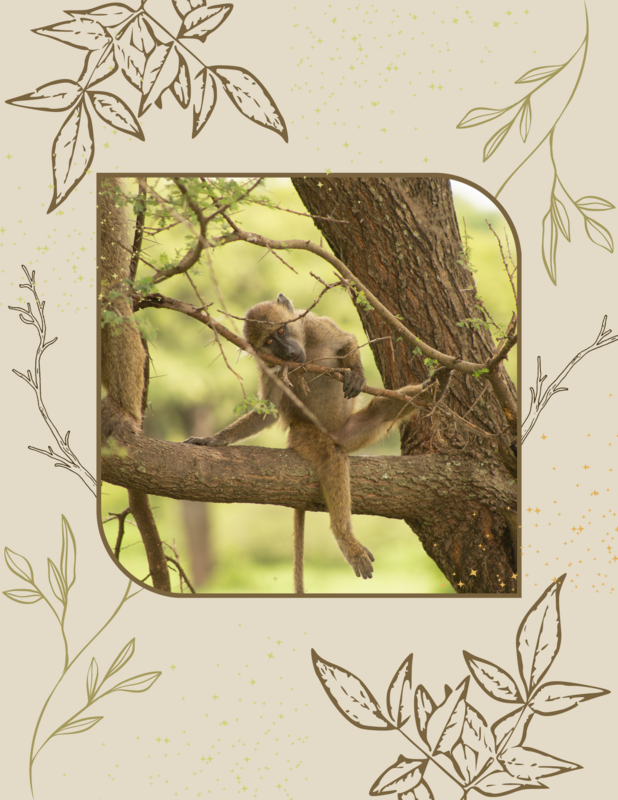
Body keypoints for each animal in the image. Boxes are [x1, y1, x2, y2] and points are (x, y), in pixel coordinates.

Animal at [184, 293, 438, 594]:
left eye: (282, 331)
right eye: (268, 342)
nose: (290, 354)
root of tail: (334, 432)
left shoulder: (317, 325)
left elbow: (347, 339)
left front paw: (355, 372)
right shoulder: (267, 363)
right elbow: (268, 410)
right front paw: (214, 439)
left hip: (352, 431)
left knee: (382, 412)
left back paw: (434, 389)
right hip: (306, 435)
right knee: (333, 456)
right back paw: (346, 539)